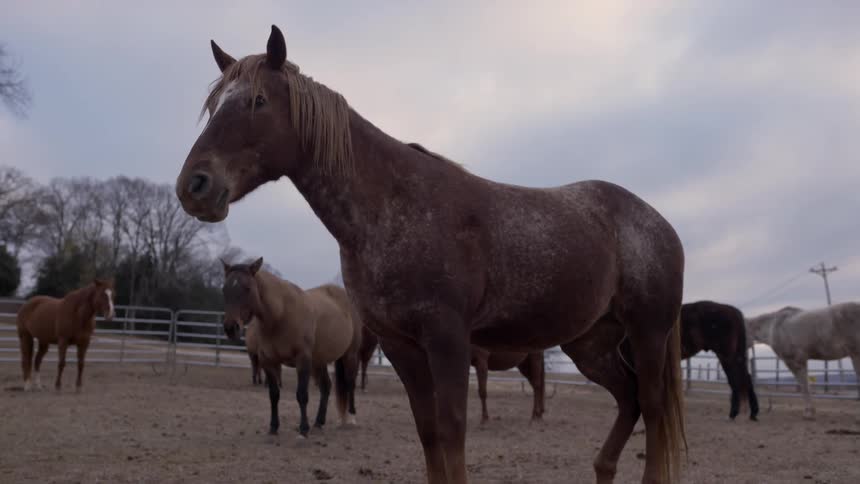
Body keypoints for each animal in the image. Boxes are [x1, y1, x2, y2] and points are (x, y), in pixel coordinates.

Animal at [220, 258, 362, 437]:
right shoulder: (268, 361)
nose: (231, 328)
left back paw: (351, 418)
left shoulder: (302, 360)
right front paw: (273, 427)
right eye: (224, 289)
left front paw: (303, 429)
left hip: (350, 355)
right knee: (326, 386)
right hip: (319, 361)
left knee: (350, 383)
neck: (281, 315)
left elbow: (301, 395)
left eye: (247, 288)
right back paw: (319, 422)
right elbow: (274, 394)